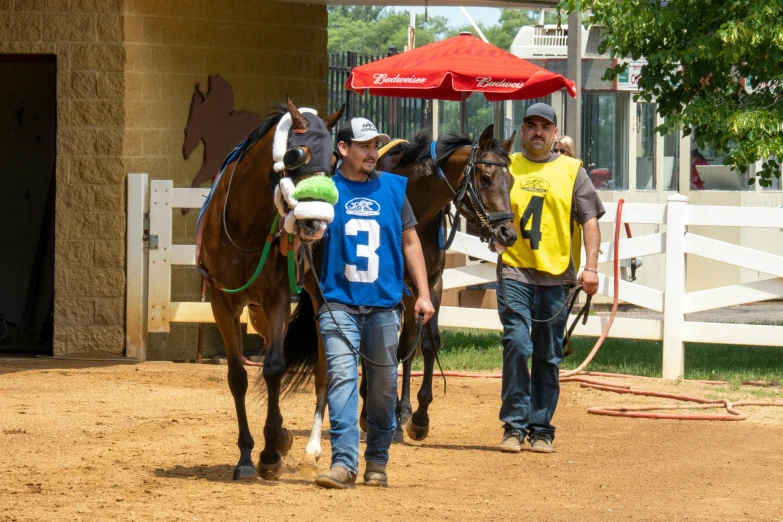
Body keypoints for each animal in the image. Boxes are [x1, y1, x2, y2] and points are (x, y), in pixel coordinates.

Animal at [198, 98, 342, 480]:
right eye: (295, 155)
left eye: (334, 160)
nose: (315, 222)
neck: (244, 226)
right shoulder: (222, 302)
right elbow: (237, 376)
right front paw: (248, 456)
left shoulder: (278, 297)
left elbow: (275, 367)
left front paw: (270, 455)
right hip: (256, 311)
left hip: (319, 299)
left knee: (323, 371)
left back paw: (312, 448)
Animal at [288, 122, 520, 468]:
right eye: (486, 178)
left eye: (513, 181)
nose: (508, 233)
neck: (417, 204)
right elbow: (388, 349)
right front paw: (386, 416)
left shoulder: (430, 285)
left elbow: (422, 345)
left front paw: (417, 417)